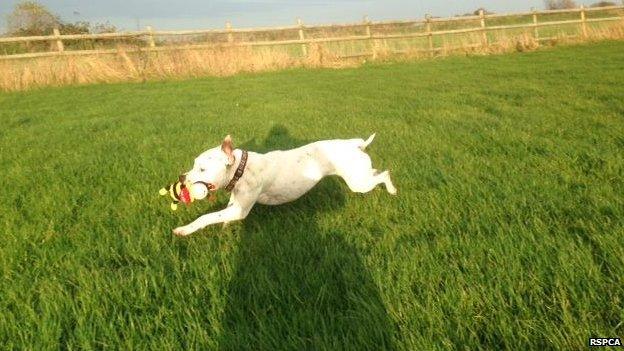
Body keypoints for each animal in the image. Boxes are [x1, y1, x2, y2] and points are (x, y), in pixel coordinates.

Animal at [172, 135, 394, 236]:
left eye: (202, 169)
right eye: (194, 164)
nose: (182, 178)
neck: (240, 169)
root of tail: (356, 144)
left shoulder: (240, 210)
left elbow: (206, 217)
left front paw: (185, 229)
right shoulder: (235, 204)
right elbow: (221, 215)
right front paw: (225, 227)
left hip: (358, 183)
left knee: (385, 174)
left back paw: (392, 190)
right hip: (360, 176)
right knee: (376, 173)